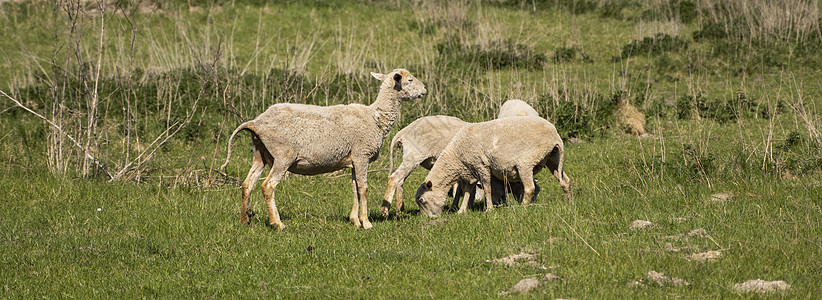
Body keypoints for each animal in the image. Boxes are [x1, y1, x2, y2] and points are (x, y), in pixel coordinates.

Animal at [222, 68, 428, 230]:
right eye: (410, 80)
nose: (425, 89)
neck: (375, 118)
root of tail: (256, 122)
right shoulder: (362, 155)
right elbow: (363, 189)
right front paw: (367, 222)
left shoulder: (353, 160)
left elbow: (354, 189)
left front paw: (355, 221)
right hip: (282, 155)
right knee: (268, 186)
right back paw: (277, 223)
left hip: (260, 153)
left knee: (247, 184)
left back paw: (244, 220)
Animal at [418, 116, 572, 217]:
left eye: (422, 201)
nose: (427, 220)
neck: (456, 156)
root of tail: (554, 136)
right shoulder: (471, 171)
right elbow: (467, 191)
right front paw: (462, 211)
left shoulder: (482, 166)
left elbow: (487, 189)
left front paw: (489, 209)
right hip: (553, 159)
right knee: (565, 181)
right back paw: (568, 202)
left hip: (526, 162)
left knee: (530, 188)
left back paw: (522, 208)